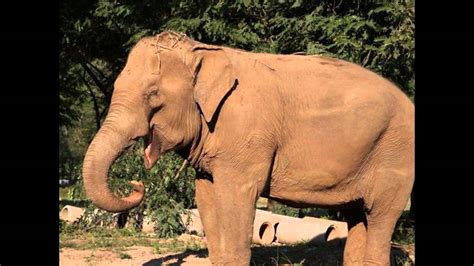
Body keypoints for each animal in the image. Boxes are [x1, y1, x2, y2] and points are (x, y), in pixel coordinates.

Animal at [82, 31, 414, 266]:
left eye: (153, 95)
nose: (135, 183)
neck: (204, 50)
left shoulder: (245, 137)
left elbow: (236, 197)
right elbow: (206, 197)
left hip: (394, 153)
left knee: (380, 215)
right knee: (358, 216)